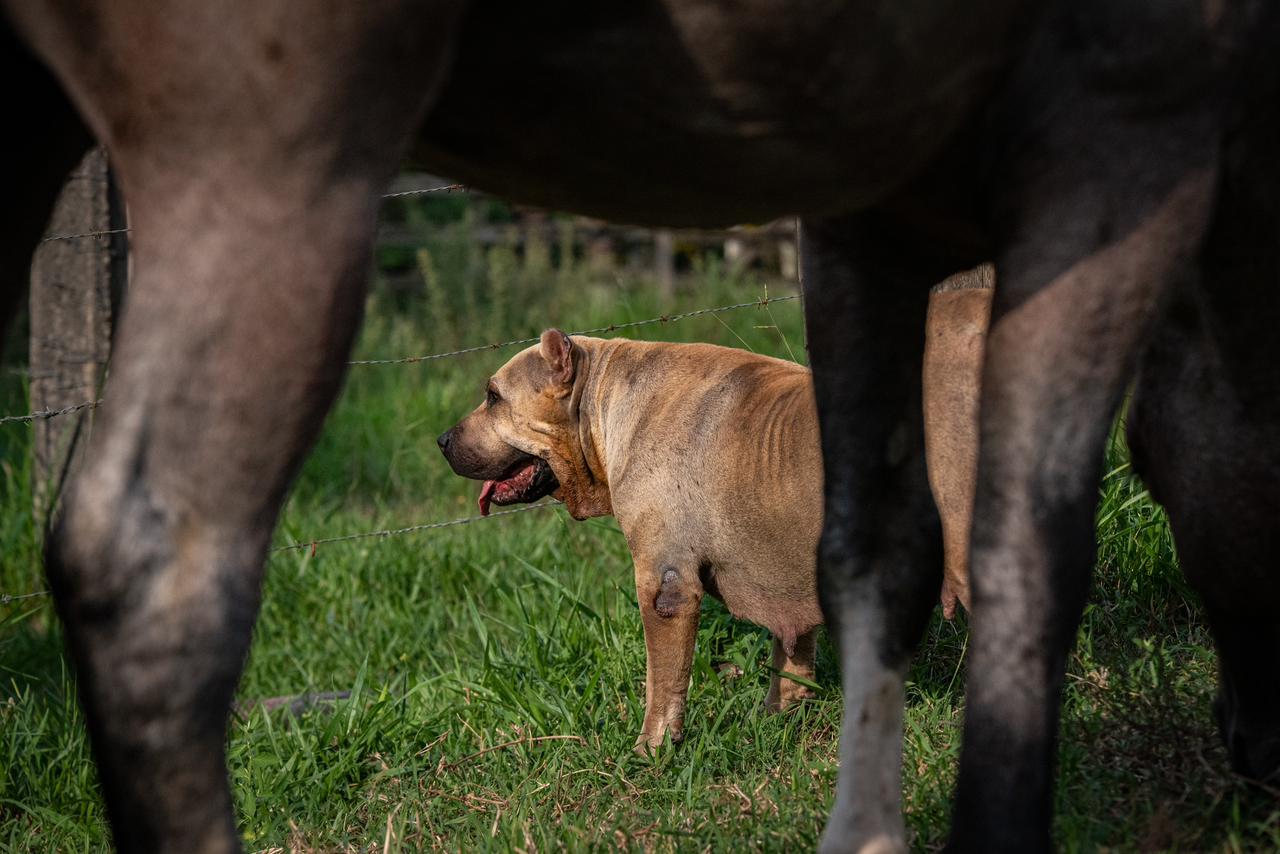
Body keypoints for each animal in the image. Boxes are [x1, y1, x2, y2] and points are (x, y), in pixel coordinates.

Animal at [440, 277, 988, 752]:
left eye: (493, 396)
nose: (442, 439)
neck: (601, 401)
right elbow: (792, 655)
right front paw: (780, 717)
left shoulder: (665, 583)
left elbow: (664, 681)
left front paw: (653, 749)